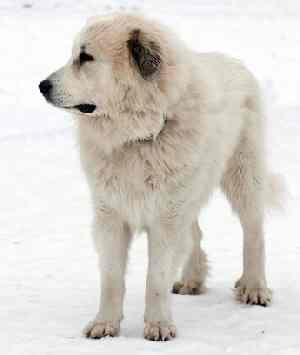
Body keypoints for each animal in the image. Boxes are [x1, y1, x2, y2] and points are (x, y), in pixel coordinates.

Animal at [38, 12, 282, 340]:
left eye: (85, 57)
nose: (42, 85)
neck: (139, 136)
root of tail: (232, 61)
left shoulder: (166, 217)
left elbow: (156, 277)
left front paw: (158, 325)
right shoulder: (111, 215)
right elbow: (111, 277)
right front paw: (105, 323)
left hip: (243, 176)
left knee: (253, 233)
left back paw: (254, 287)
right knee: (195, 234)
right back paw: (193, 279)